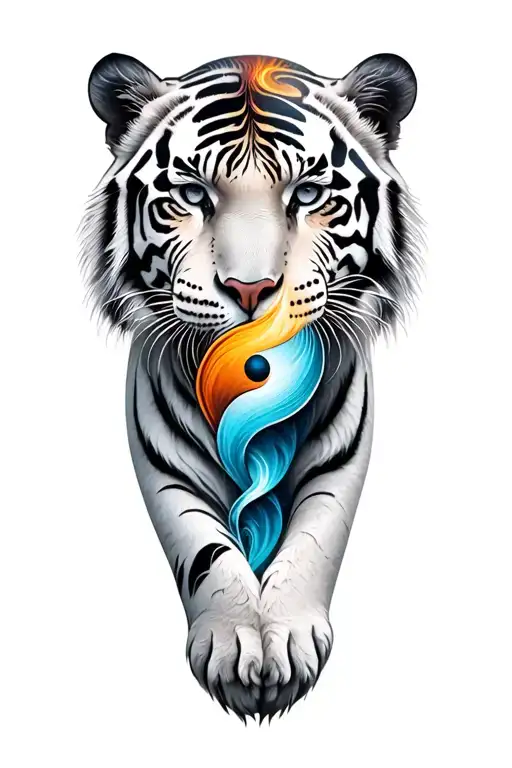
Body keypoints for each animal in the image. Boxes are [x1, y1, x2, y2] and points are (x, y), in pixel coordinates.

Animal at [79, 51, 423, 721]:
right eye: (192, 193)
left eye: (308, 194)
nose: (250, 289)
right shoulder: (165, 462)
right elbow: (202, 547)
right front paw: (235, 645)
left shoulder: (343, 453)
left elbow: (317, 535)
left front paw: (287, 640)